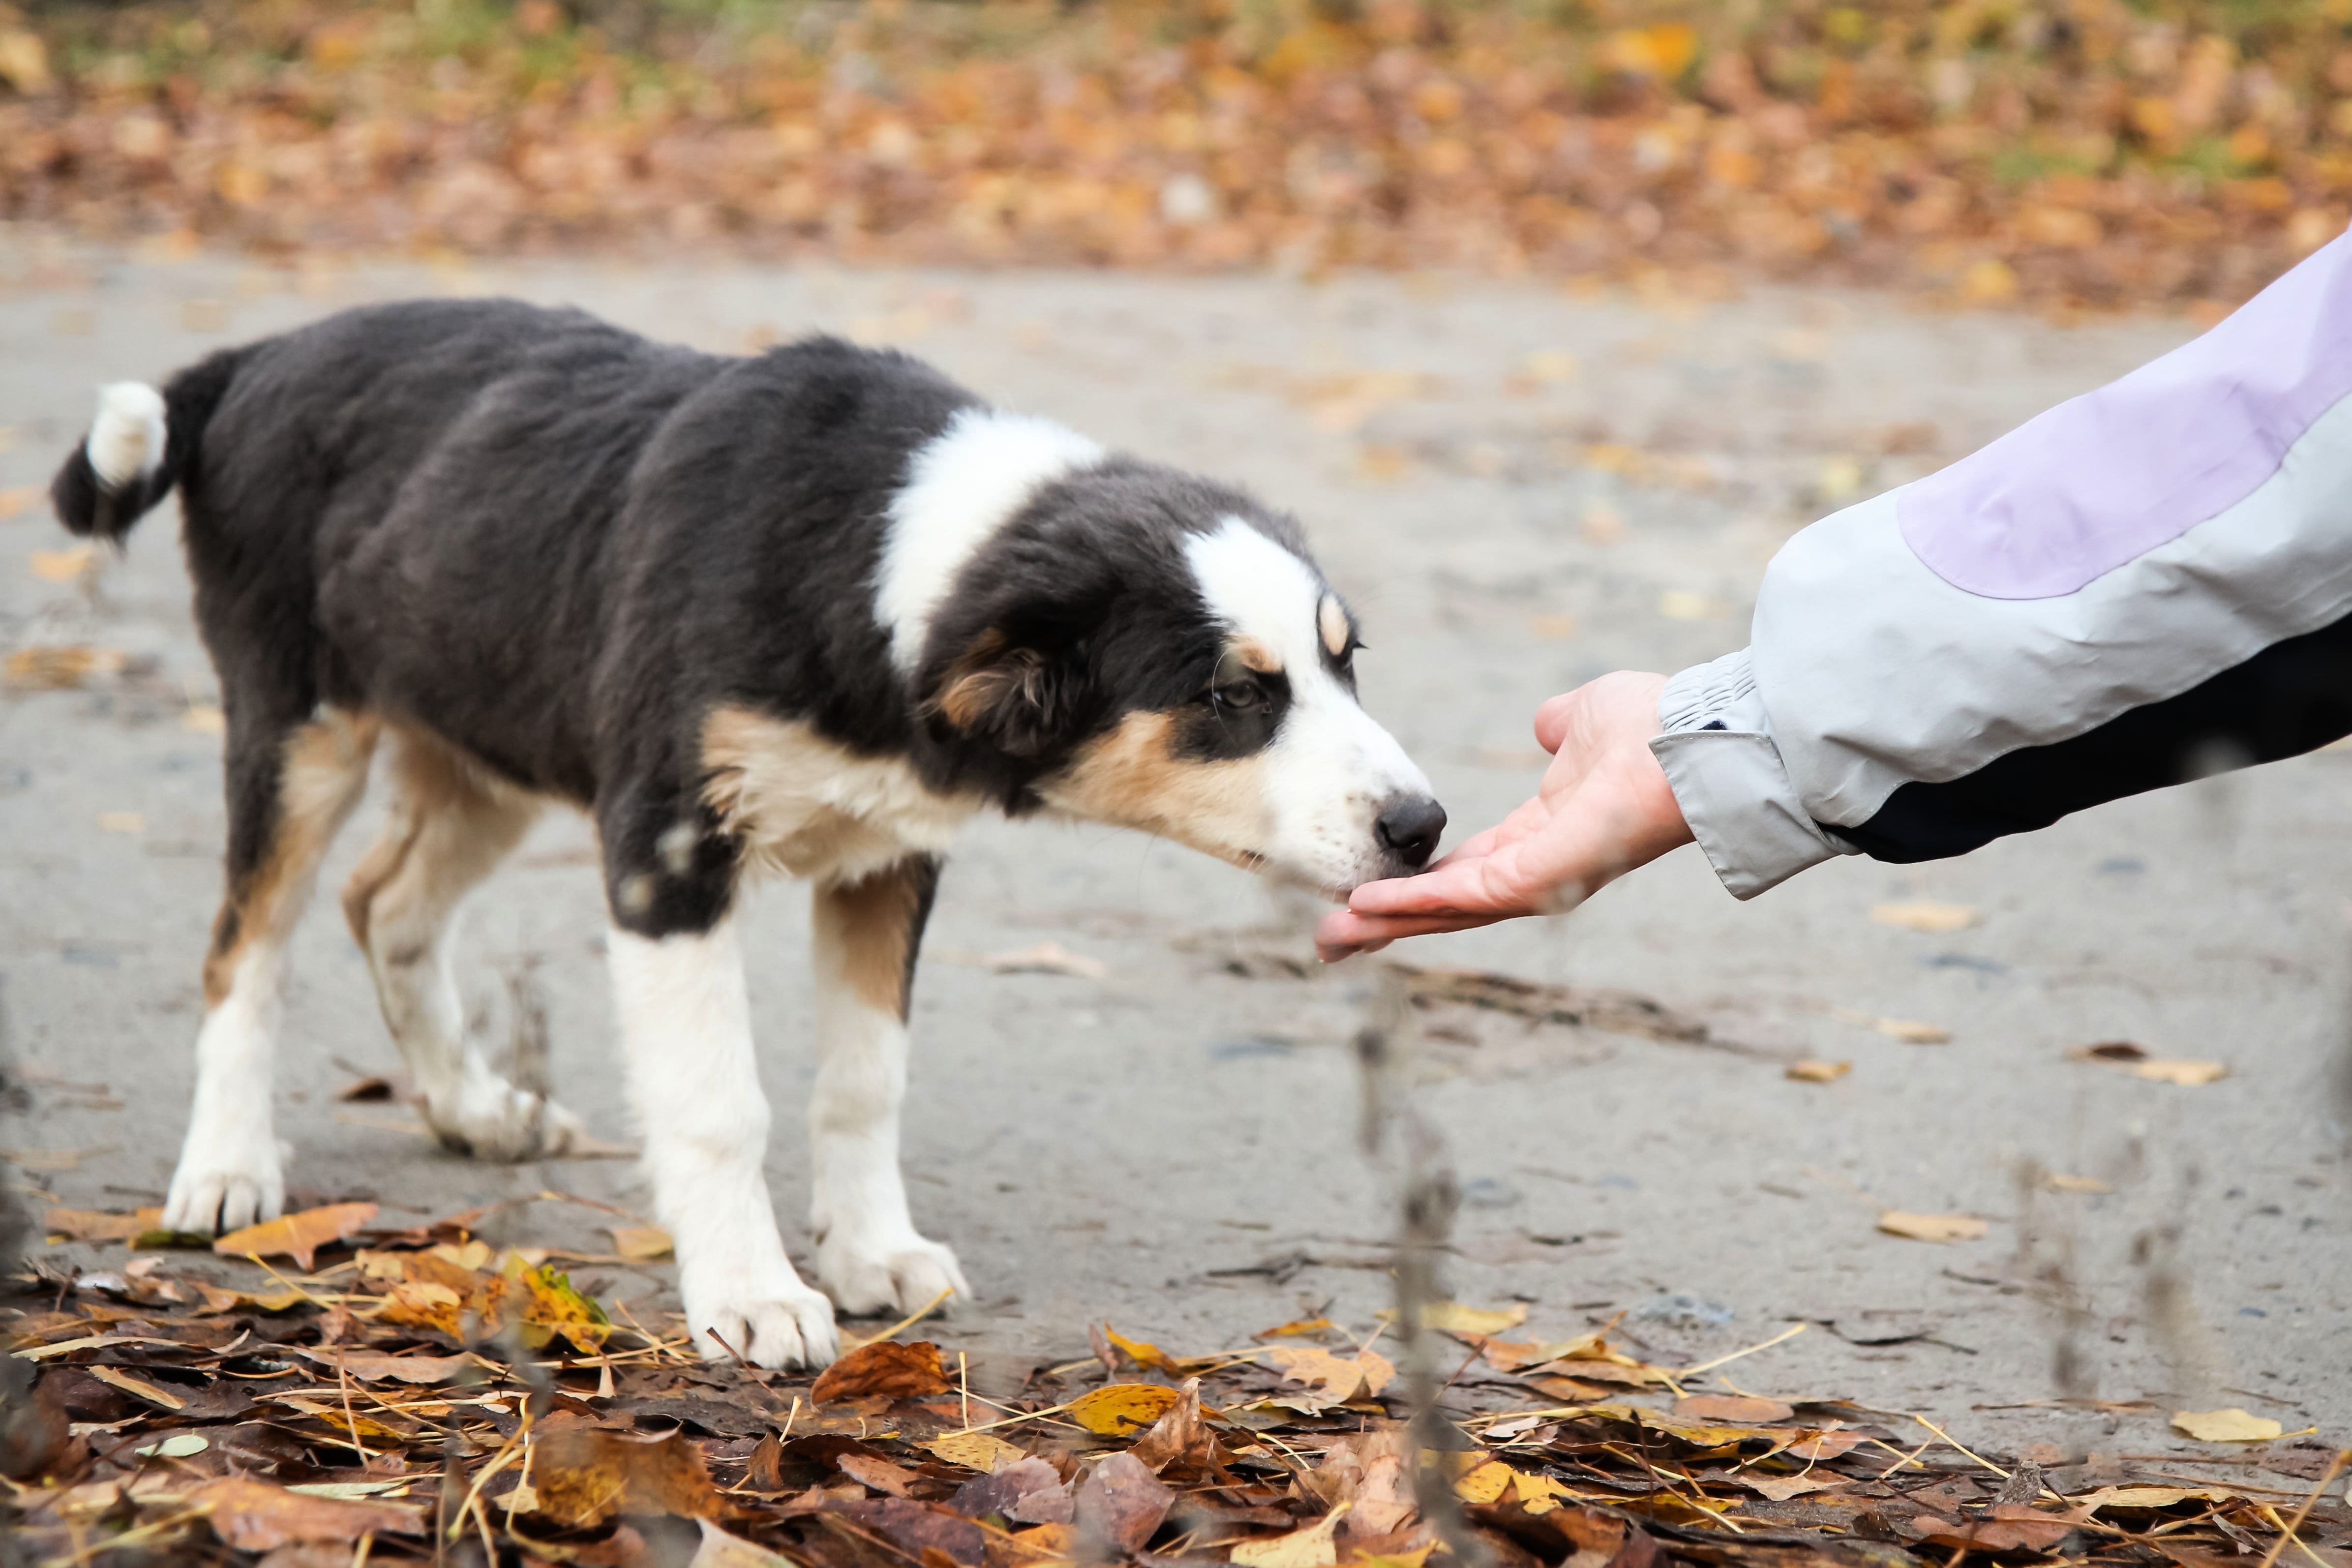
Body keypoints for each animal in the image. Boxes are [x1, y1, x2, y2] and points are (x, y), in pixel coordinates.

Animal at [55, 301, 1439, 1363]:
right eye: (1232, 696)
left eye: (1346, 661)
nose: (1423, 827)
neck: (867, 566)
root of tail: (256, 357)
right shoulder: (666, 852)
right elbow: (723, 1102)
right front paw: (754, 1295)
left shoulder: (891, 856)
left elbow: (864, 1078)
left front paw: (872, 1251)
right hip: (298, 729)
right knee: (246, 946)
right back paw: (228, 1168)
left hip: (488, 735)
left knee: (385, 899)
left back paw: (471, 1107)